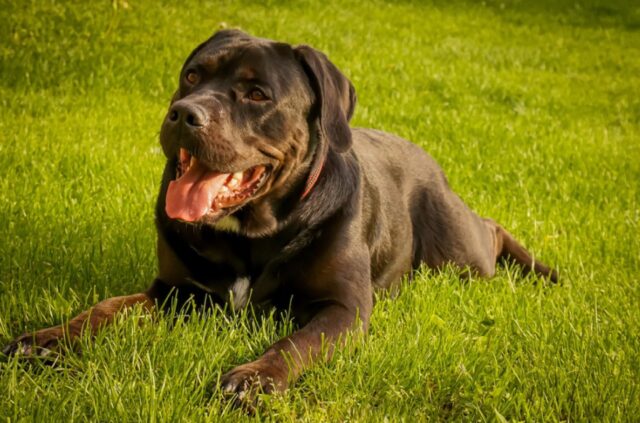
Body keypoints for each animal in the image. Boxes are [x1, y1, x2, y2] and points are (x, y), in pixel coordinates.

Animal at [2, 30, 556, 404]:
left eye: (257, 94)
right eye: (192, 76)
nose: (184, 113)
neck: (250, 234)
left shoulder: (342, 307)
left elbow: (296, 342)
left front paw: (253, 378)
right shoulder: (175, 291)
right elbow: (106, 308)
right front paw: (47, 339)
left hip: (459, 254)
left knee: (491, 231)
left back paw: (545, 272)